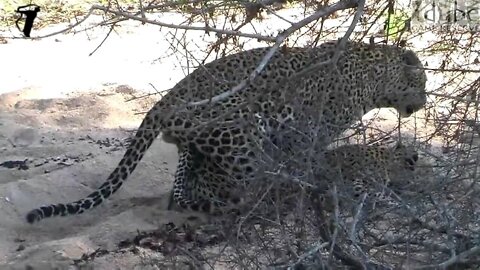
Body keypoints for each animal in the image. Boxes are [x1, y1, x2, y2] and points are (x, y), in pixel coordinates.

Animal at [25, 40, 428, 224]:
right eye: (422, 82)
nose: (424, 102)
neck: (375, 80)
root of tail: (163, 103)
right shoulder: (308, 132)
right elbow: (311, 164)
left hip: (197, 147)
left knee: (183, 192)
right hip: (242, 131)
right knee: (249, 185)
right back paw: (261, 204)